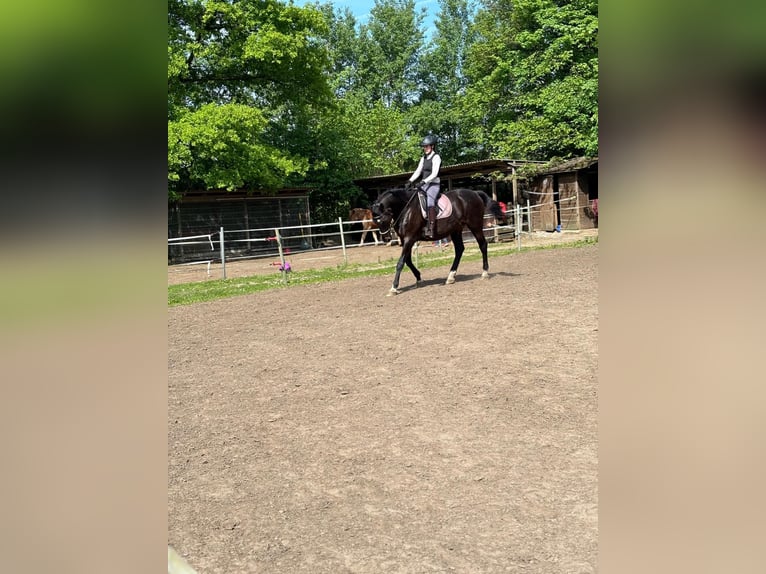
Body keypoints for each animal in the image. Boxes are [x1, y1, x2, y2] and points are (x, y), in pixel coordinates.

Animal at [374, 187, 510, 296]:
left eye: (381, 219)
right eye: (375, 221)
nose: (386, 238)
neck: (406, 208)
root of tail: (475, 193)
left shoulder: (409, 238)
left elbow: (401, 262)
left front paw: (394, 288)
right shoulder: (405, 240)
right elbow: (407, 261)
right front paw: (419, 278)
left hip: (475, 225)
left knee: (482, 245)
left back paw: (485, 273)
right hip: (456, 230)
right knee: (459, 249)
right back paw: (451, 277)